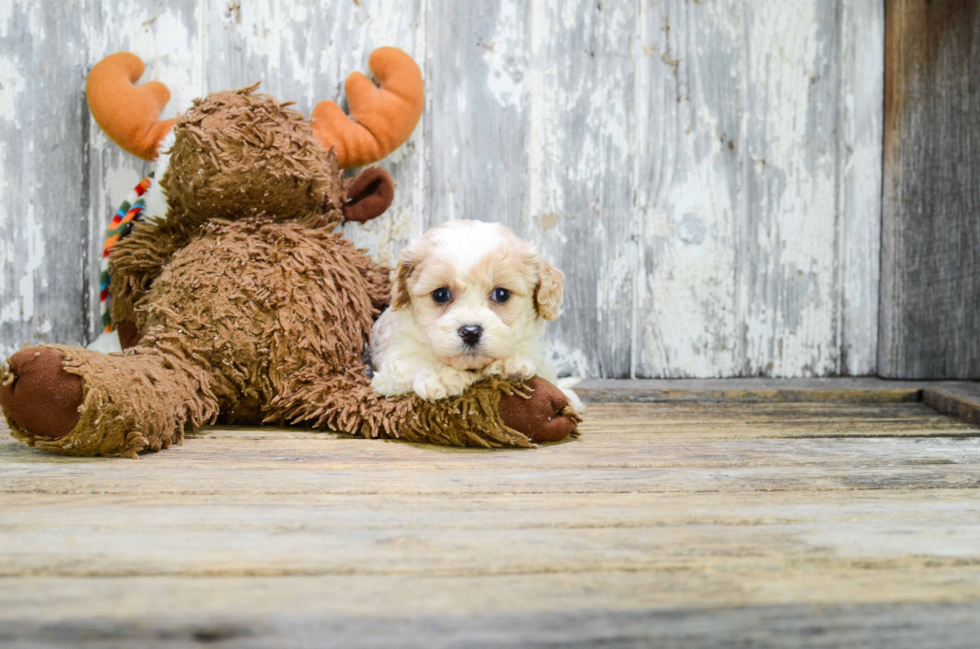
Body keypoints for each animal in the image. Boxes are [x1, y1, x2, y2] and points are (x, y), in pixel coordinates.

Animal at [368, 219, 580, 410]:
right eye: (440, 294)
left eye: (501, 294)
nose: (470, 332)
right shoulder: (391, 365)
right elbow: (411, 361)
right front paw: (441, 375)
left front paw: (510, 362)